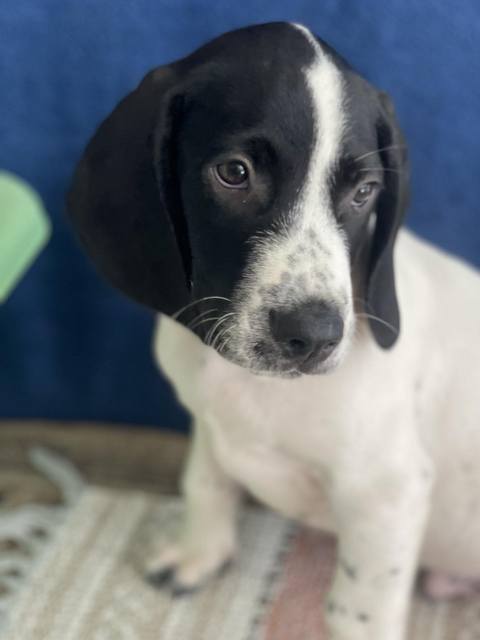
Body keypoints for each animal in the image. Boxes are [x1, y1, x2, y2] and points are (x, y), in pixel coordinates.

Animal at [68, 22, 480, 640]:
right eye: (234, 172)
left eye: (364, 191)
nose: (313, 335)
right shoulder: (207, 422)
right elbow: (204, 483)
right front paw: (200, 554)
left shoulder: (386, 491)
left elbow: (354, 609)